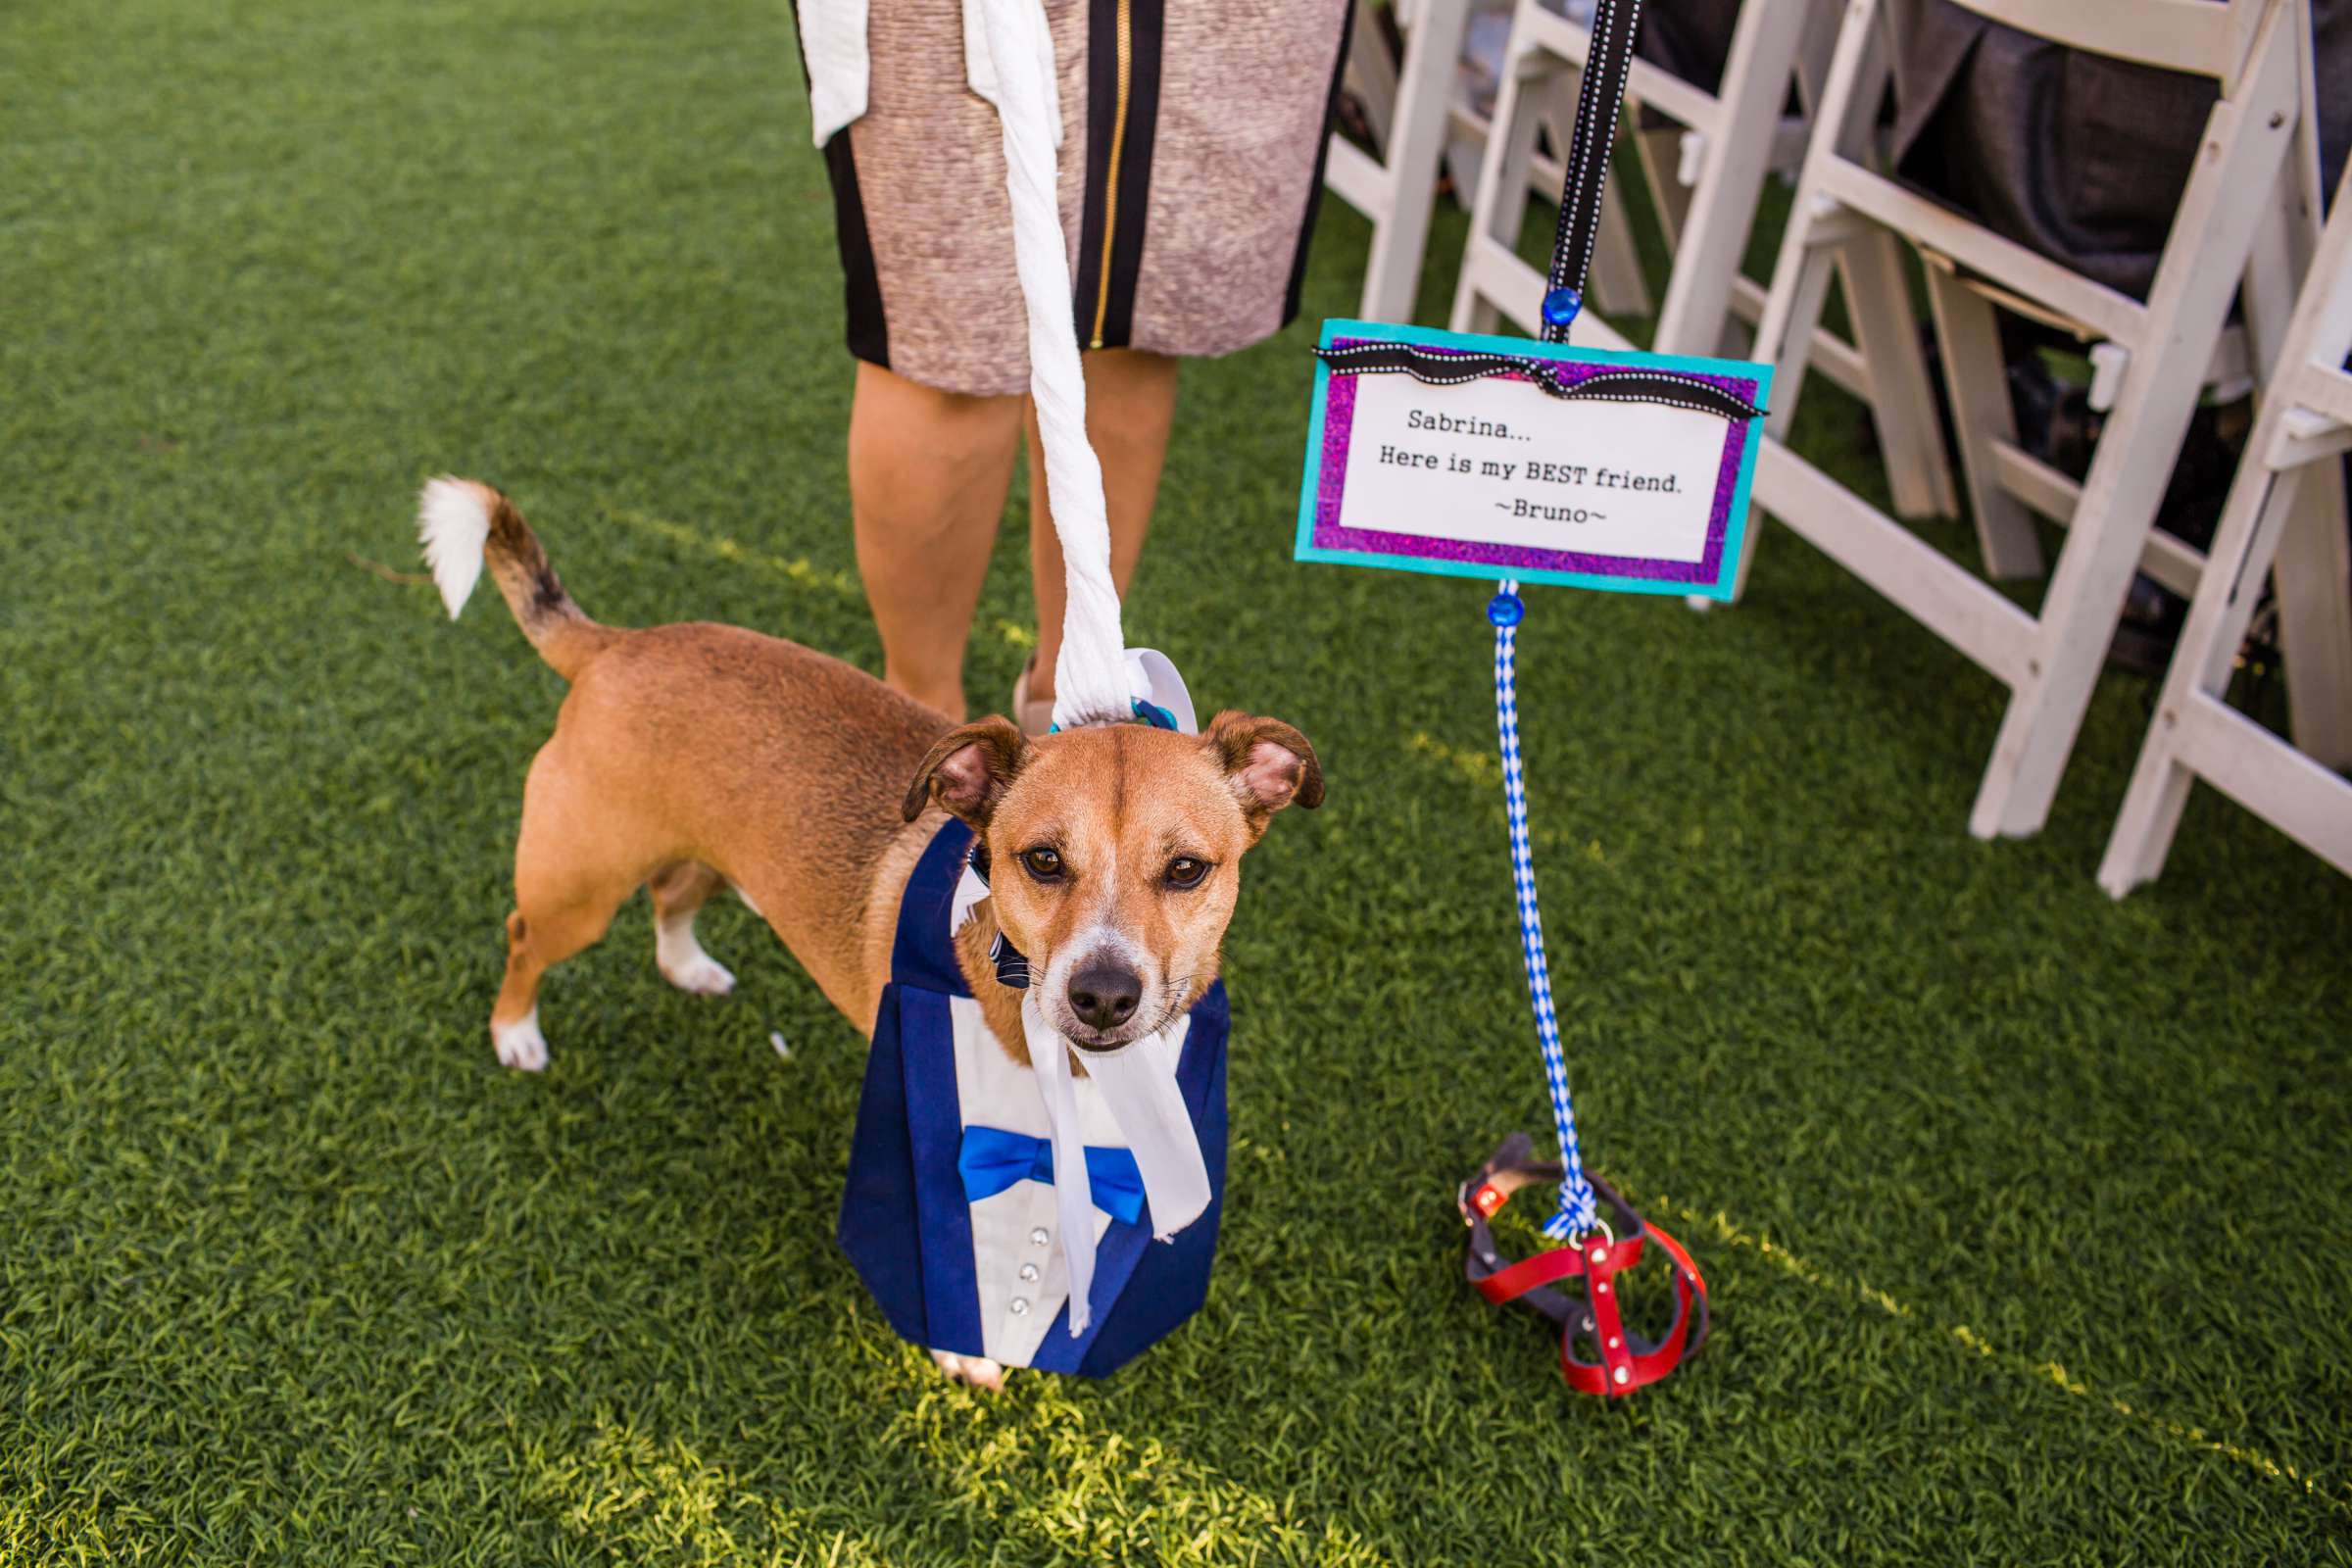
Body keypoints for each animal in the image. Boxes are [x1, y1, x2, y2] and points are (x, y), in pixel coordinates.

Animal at [414, 481, 1317, 1382]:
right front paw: (966, 1355)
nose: (1102, 996)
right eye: (1043, 860)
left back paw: (688, 965)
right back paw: (517, 1035)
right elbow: (967, 1266)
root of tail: (620, 644)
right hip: (579, 890)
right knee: (524, 938)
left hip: (717, 852)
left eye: (1187, 870)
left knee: (673, 895)